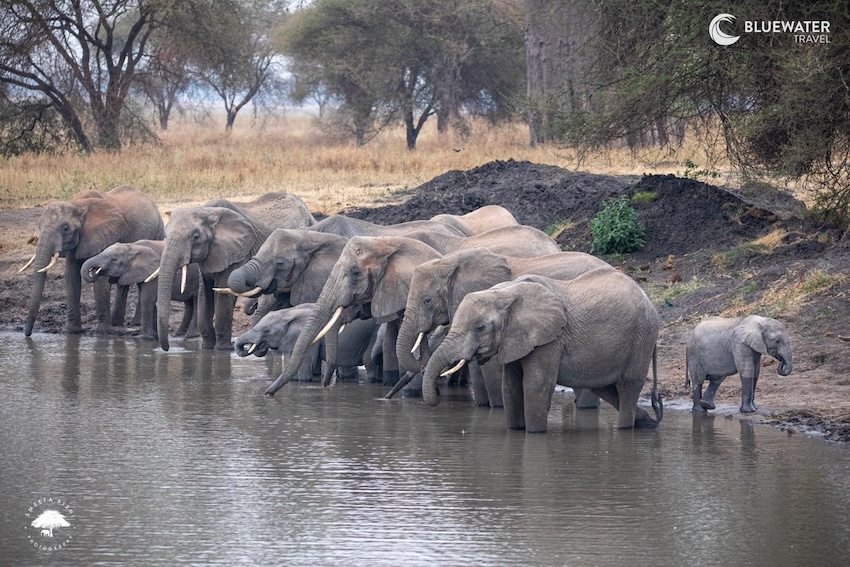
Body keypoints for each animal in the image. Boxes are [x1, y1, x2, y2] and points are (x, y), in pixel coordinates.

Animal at [22, 185, 165, 336]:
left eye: (66, 228)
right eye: (39, 226)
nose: (27, 334)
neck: (77, 204)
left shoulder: (106, 235)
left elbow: (100, 279)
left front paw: (103, 333)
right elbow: (71, 277)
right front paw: (71, 332)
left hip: (157, 232)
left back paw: (134, 323)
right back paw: (117, 322)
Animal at [156, 192, 315, 351]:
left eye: (195, 237)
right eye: (165, 235)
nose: (167, 348)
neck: (207, 211)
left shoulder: (238, 253)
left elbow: (222, 295)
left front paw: (223, 349)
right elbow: (204, 294)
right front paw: (207, 348)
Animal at [395, 248, 612, 408]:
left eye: (427, 301)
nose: (438, 391)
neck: (450, 261)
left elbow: (490, 365)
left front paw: (497, 407)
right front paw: (482, 405)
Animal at [422, 272, 663, 433]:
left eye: (480, 328)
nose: (439, 393)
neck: (504, 293)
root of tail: (649, 301)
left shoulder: (549, 339)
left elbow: (535, 385)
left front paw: (534, 433)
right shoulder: (515, 340)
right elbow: (510, 387)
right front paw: (515, 431)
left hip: (642, 336)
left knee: (628, 386)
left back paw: (627, 428)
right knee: (605, 388)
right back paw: (648, 423)